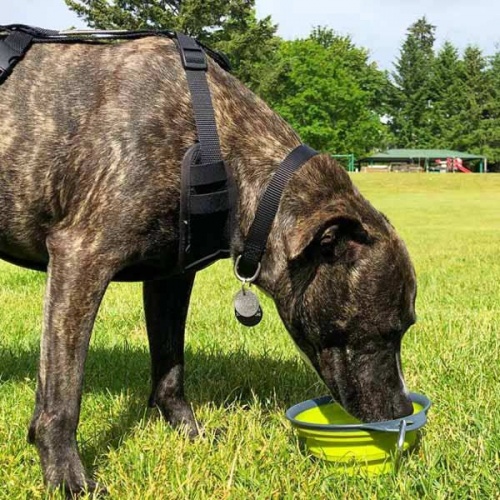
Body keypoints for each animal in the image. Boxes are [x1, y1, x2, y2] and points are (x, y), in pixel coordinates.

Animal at [0, 37, 416, 494]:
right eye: (387, 330)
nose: (402, 410)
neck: (217, 145)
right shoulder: (82, 258)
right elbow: (62, 394)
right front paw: (67, 477)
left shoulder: (170, 279)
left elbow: (170, 368)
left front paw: (189, 433)